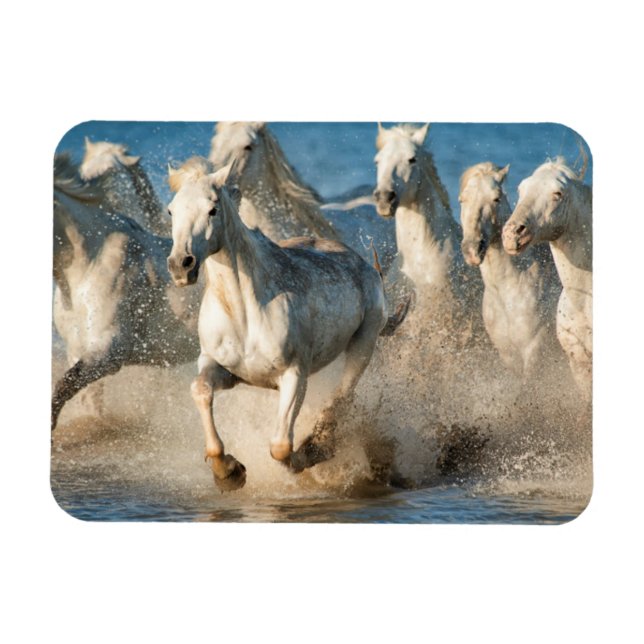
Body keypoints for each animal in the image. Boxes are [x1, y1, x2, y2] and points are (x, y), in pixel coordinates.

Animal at [166, 157, 388, 491]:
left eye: (212, 209)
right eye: (171, 210)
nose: (181, 265)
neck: (244, 312)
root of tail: (365, 266)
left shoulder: (294, 374)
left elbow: (281, 446)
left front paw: (304, 456)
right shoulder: (225, 369)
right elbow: (200, 391)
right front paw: (229, 472)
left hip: (363, 345)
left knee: (342, 396)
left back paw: (320, 447)